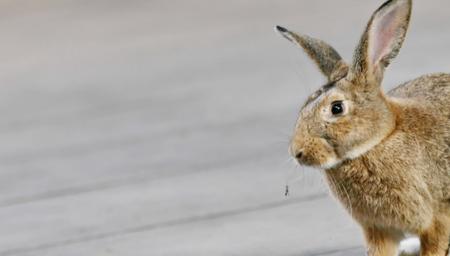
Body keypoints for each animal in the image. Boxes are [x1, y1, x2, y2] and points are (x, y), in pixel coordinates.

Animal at [276, 0, 450, 255]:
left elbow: (435, 247)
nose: (297, 152)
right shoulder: (378, 229)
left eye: (336, 108)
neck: (378, 141)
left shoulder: (438, 217)